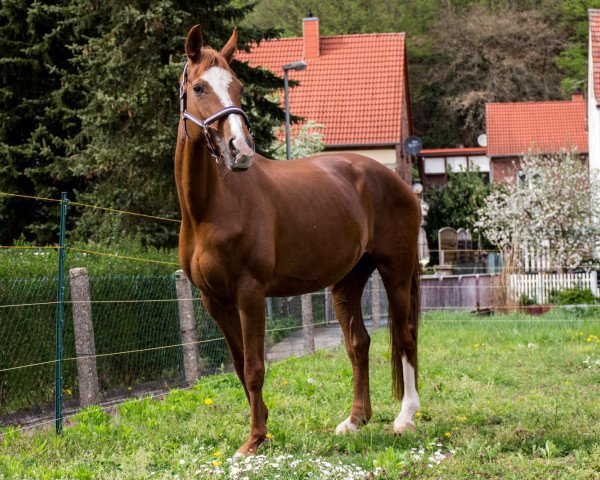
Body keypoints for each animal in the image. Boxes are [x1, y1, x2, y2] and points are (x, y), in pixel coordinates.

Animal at [175, 25, 422, 454]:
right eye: (200, 87)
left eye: (238, 86)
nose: (240, 150)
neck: (210, 208)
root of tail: (398, 183)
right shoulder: (214, 299)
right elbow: (239, 365)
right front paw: (262, 430)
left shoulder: (250, 293)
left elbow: (255, 367)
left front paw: (254, 441)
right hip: (347, 282)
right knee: (358, 343)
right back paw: (355, 420)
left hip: (396, 272)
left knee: (405, 336)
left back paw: (404, 418)